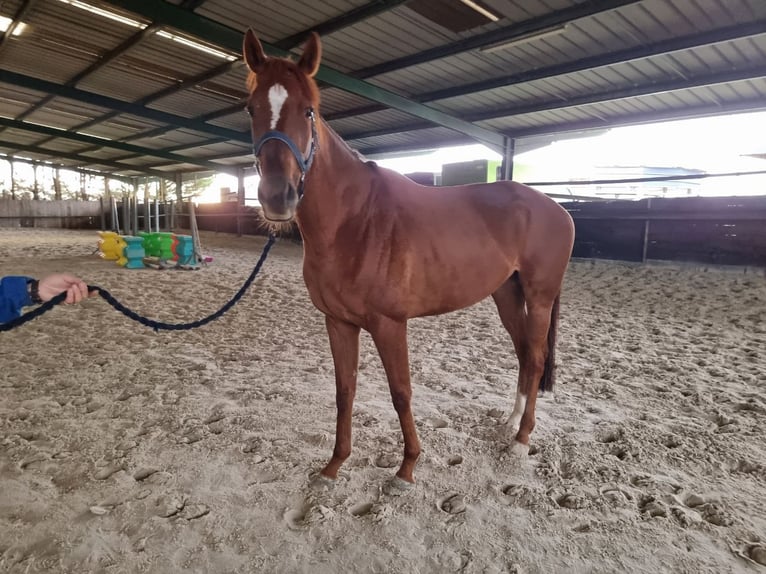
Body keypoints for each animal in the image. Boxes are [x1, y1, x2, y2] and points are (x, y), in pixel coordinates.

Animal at [243, 32, 572, 490]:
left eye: (308, 110)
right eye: (251, 108)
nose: (278, 197)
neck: (354, 221)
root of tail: (557, 208)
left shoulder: (389, 324)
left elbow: (401, 392)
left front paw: (407, 467)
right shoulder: (338, 322)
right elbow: (345, 390)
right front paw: (334, 465)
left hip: (539, 297)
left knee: (537, 359)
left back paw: (521, 441)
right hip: (507, 294)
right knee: (525, 354)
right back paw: (509, 424)